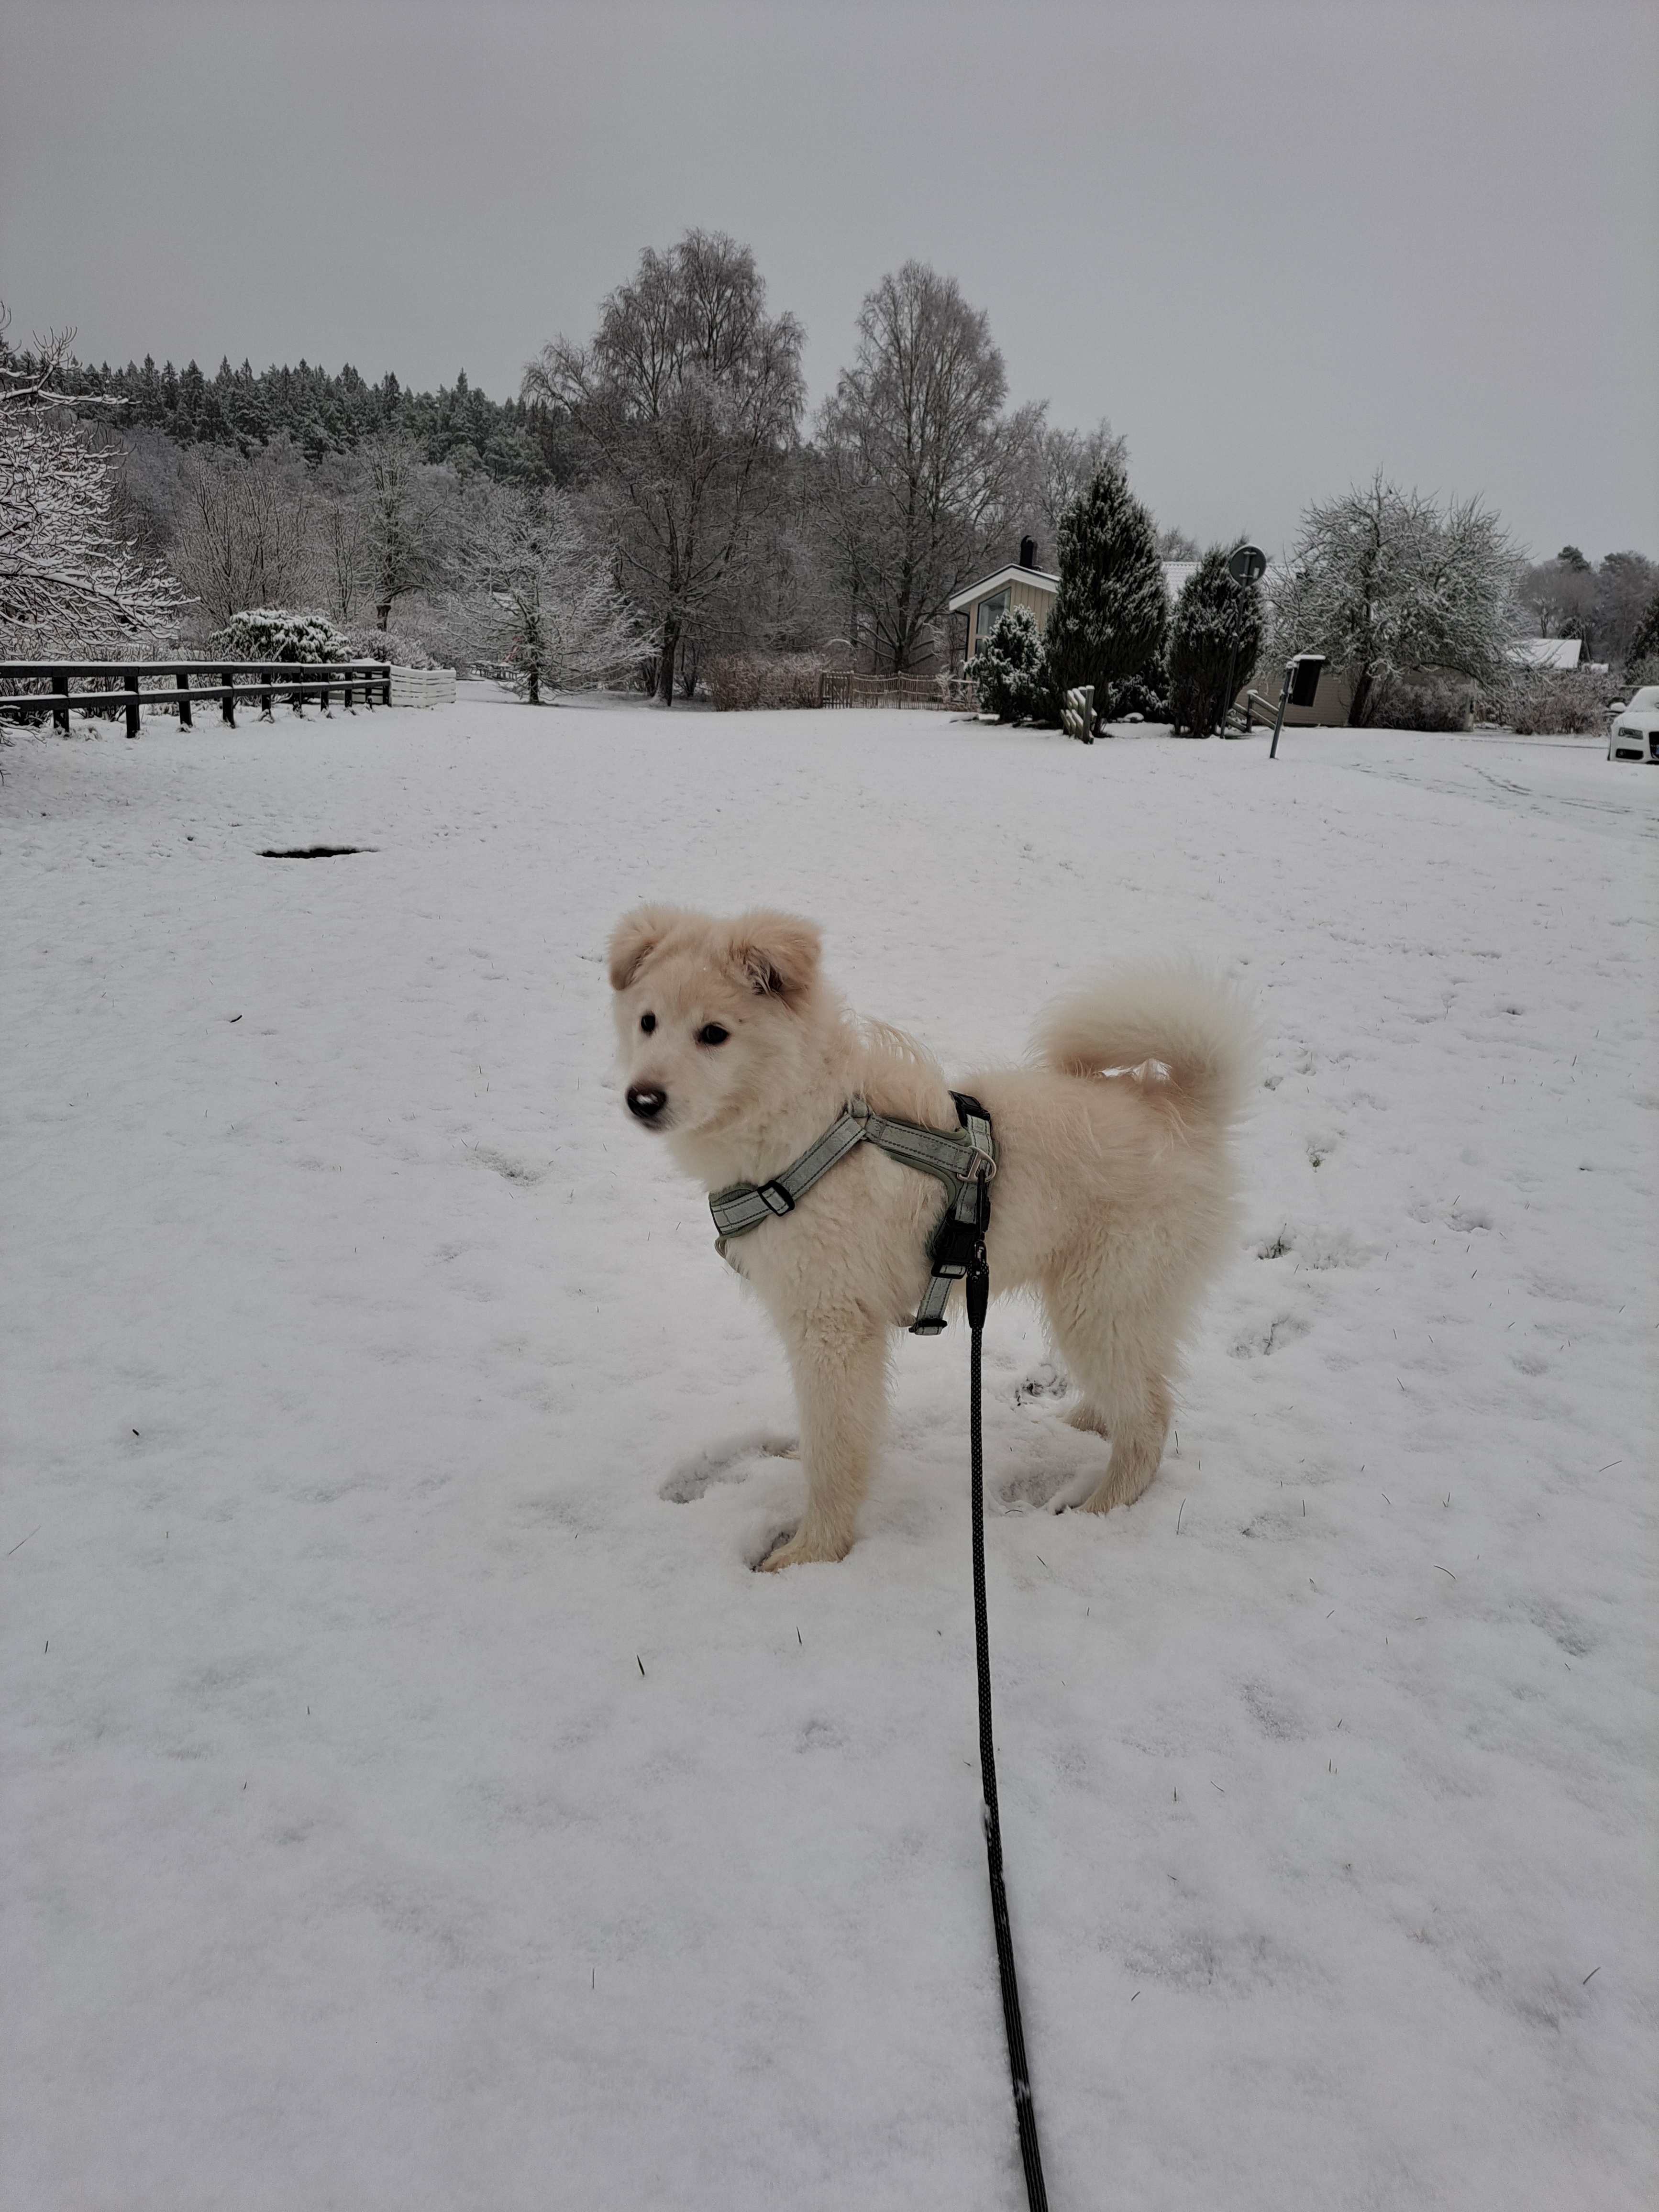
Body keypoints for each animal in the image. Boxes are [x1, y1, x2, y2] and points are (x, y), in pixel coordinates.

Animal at [615, 907, 1256, 1566]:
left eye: (714, 1033)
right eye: (647, 1022)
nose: (642, 1100)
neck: (807, 1128)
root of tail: (1183, 1109)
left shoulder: (833, 1328)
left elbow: (835, 1448)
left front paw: (810, 1553)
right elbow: (827, 1433)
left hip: (1102, 1301)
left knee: (1150, 1417)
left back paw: (1098, 1509)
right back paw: (1075, 1423)